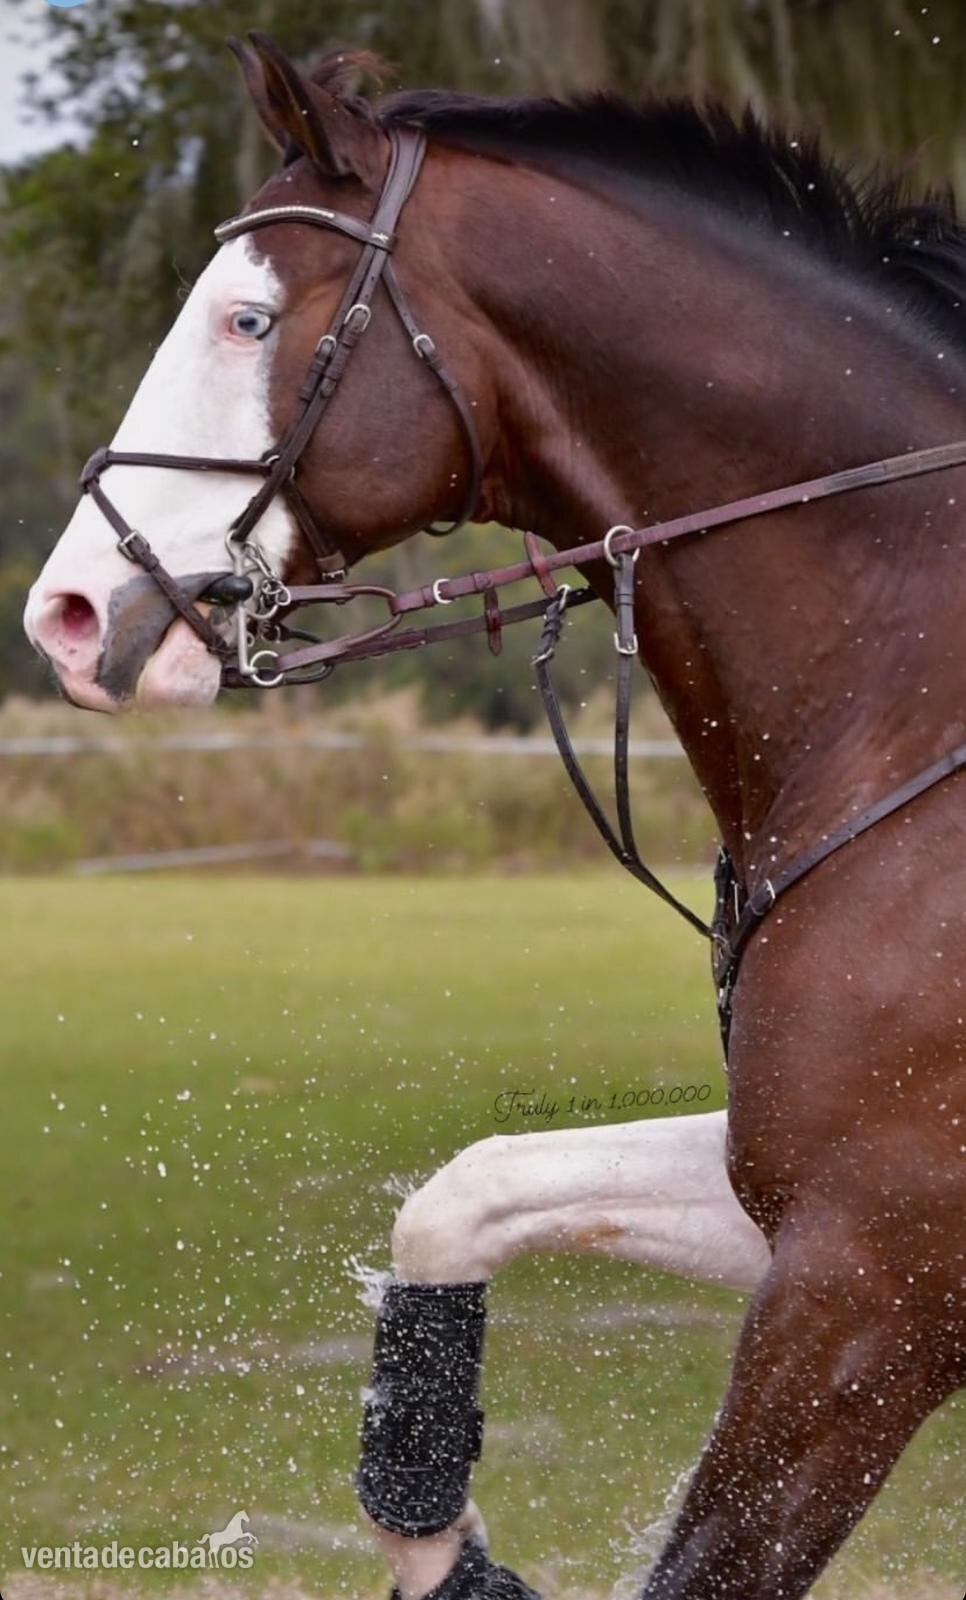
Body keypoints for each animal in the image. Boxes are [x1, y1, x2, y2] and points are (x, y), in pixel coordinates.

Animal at [23, 34, 965, 1600]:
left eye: (245, 318)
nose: (67, 615)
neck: (919, 692)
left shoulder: (868, 1284)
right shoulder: (798, 1207)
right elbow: (462, 1196)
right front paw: (450, 1555)